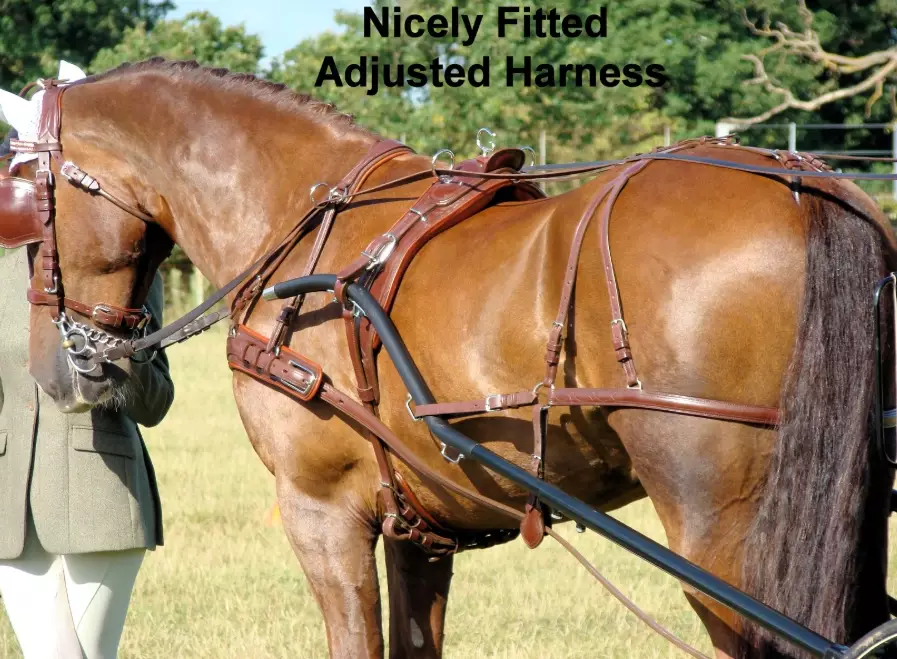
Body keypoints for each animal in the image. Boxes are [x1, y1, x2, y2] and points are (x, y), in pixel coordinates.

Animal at [9, 59, 897, 659]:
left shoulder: (319, 509)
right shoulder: (420, 524)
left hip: (722, 530)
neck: (307, 218)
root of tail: (804, 181)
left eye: (23, 198)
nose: (55, 369)